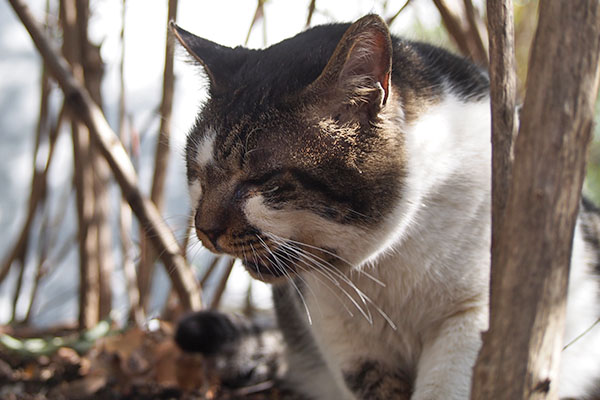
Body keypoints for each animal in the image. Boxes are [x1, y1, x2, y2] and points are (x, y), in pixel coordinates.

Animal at [170, 14, 600, 398]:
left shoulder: (472, 319)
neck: (388, 262)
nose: (205, 230)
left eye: (263, 181)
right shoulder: (347, 341)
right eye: (197, 173)